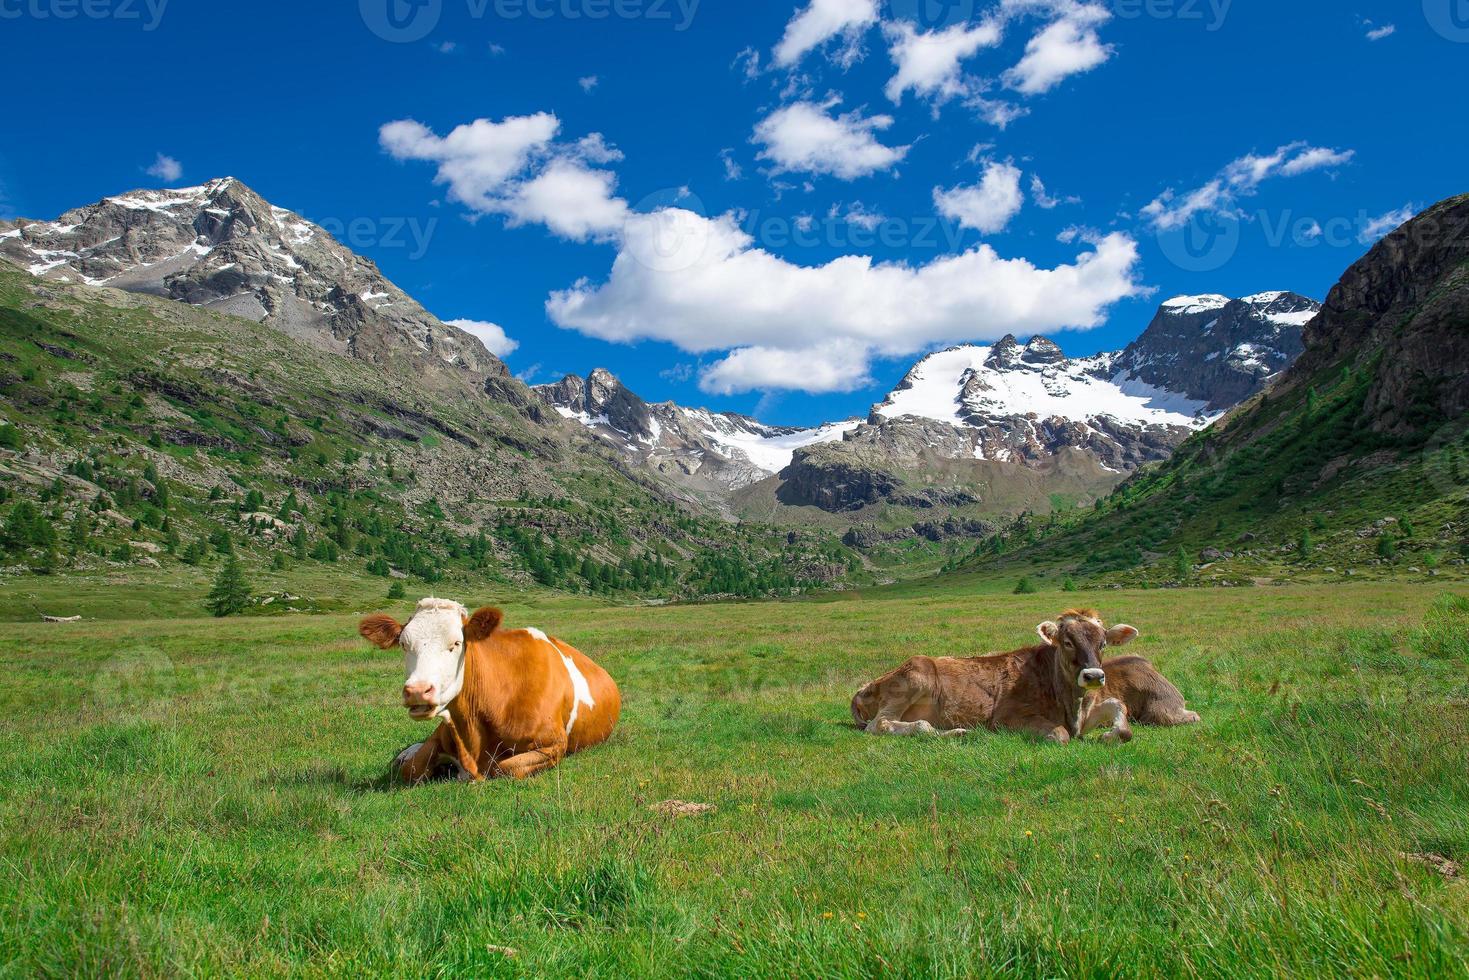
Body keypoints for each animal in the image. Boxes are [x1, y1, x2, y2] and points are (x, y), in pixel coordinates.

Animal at [367, 599, 625, 781]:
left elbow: (505, 768)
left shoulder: (553, 744)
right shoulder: (444, 732)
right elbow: (412, 769)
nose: (418, 691)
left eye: (456, 643)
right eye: (403, 644)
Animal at [846, 608, 1198, 746]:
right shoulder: (1007, 717)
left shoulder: (1089, 713)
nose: (1094, 675)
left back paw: (957, 732)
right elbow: (1059, 735)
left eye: (1103, 643)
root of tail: (865, 686)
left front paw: (1111, 734)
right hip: (914, 677)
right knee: (883, 725)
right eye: (1067, 641)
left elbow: (1119, 712)